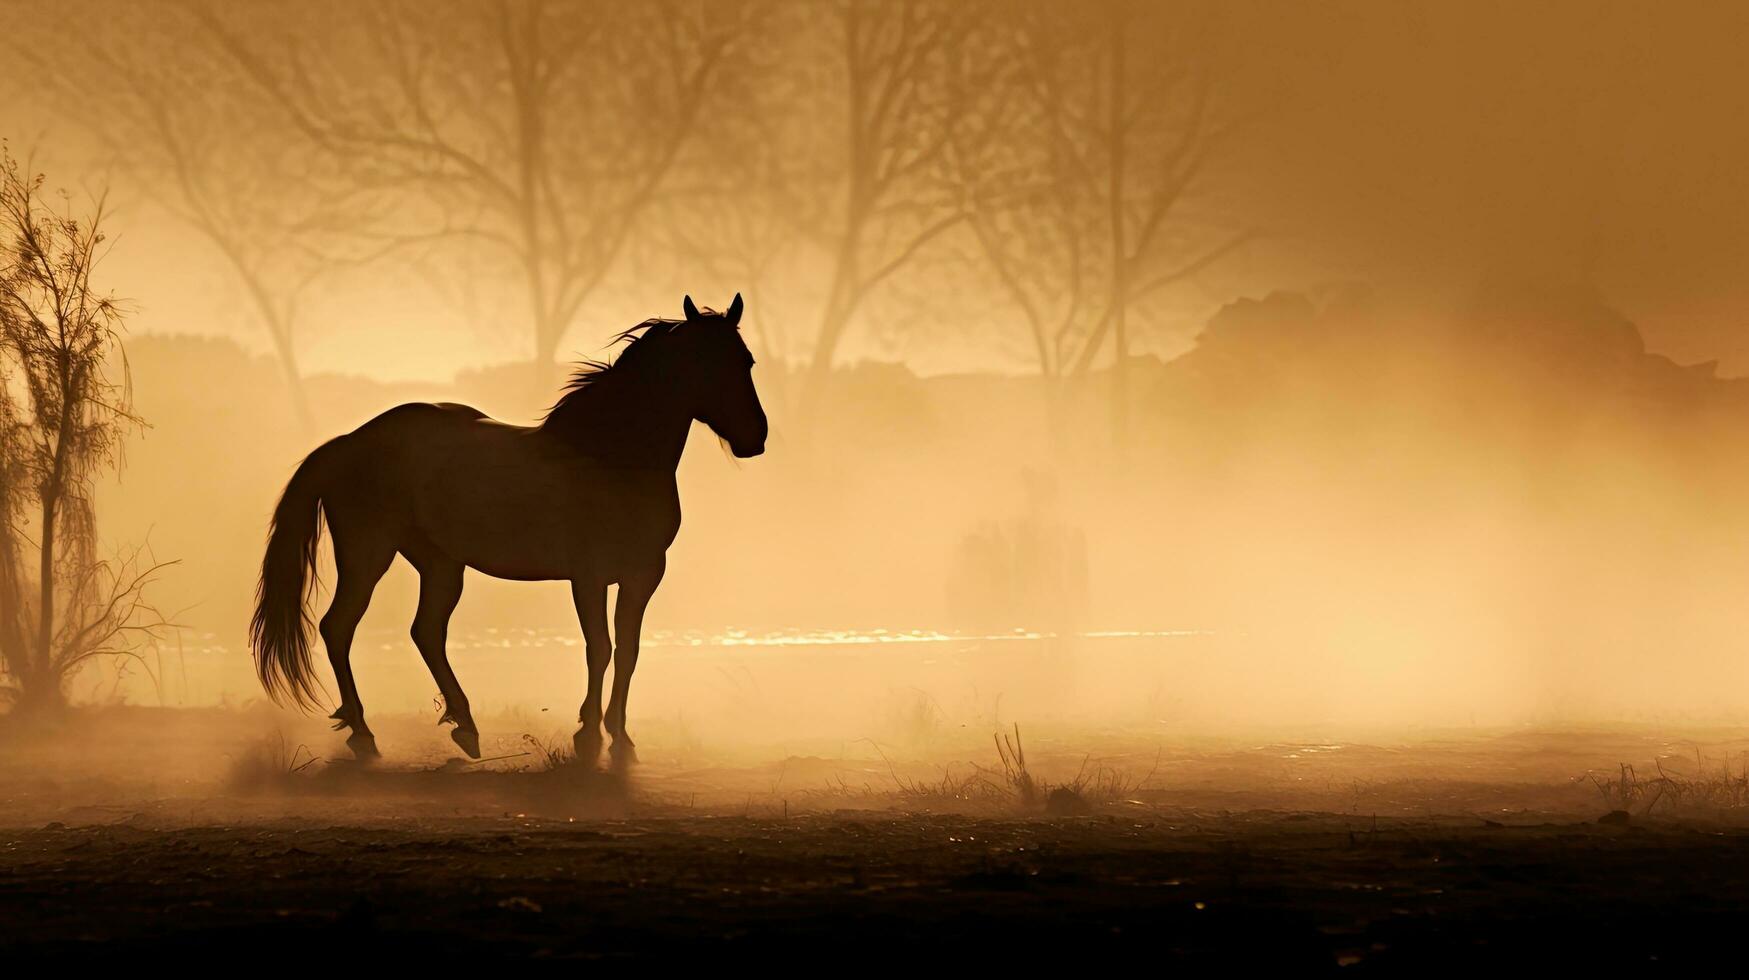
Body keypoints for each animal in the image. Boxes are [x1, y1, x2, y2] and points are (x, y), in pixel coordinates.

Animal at [250, 297, 769, 766]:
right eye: (705, 363)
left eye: (745, 360)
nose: (755, 437)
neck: (610, 456)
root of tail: (348, 443)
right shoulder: (589, 576)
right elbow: (599, 648)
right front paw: (588, 734)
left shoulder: (642, 575)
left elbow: (628, 651)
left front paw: (620, 736)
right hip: (368, 555)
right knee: (339, 627)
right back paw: (363, 731)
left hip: (441, 564)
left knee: (426, 631)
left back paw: (464, 726)